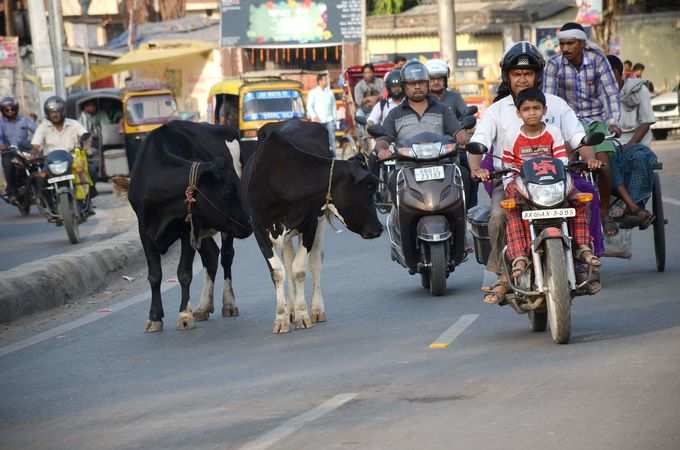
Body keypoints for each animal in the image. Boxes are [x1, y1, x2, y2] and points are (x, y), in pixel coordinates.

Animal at [129, 121, 251, 332]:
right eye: (228, 190)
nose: (249, 220)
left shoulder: (187, 230)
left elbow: (184, 272)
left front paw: (184, 315)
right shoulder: (144, 230)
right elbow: (154, 275)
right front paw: (154, 318)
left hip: (225, 228)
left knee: (226, 257)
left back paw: (228, 304)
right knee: (211, 255)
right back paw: (203, 307)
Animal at [243, 119, 382, 334]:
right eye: (368, 188)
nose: (378, 228)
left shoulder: (310, 224)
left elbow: (300, 269)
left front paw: (302, 315)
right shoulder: (259, 229)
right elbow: (278, 272)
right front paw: (282, 318)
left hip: (320, 222)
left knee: (315, 262)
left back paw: (316, 310)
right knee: (288, 262)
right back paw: (291, 310)